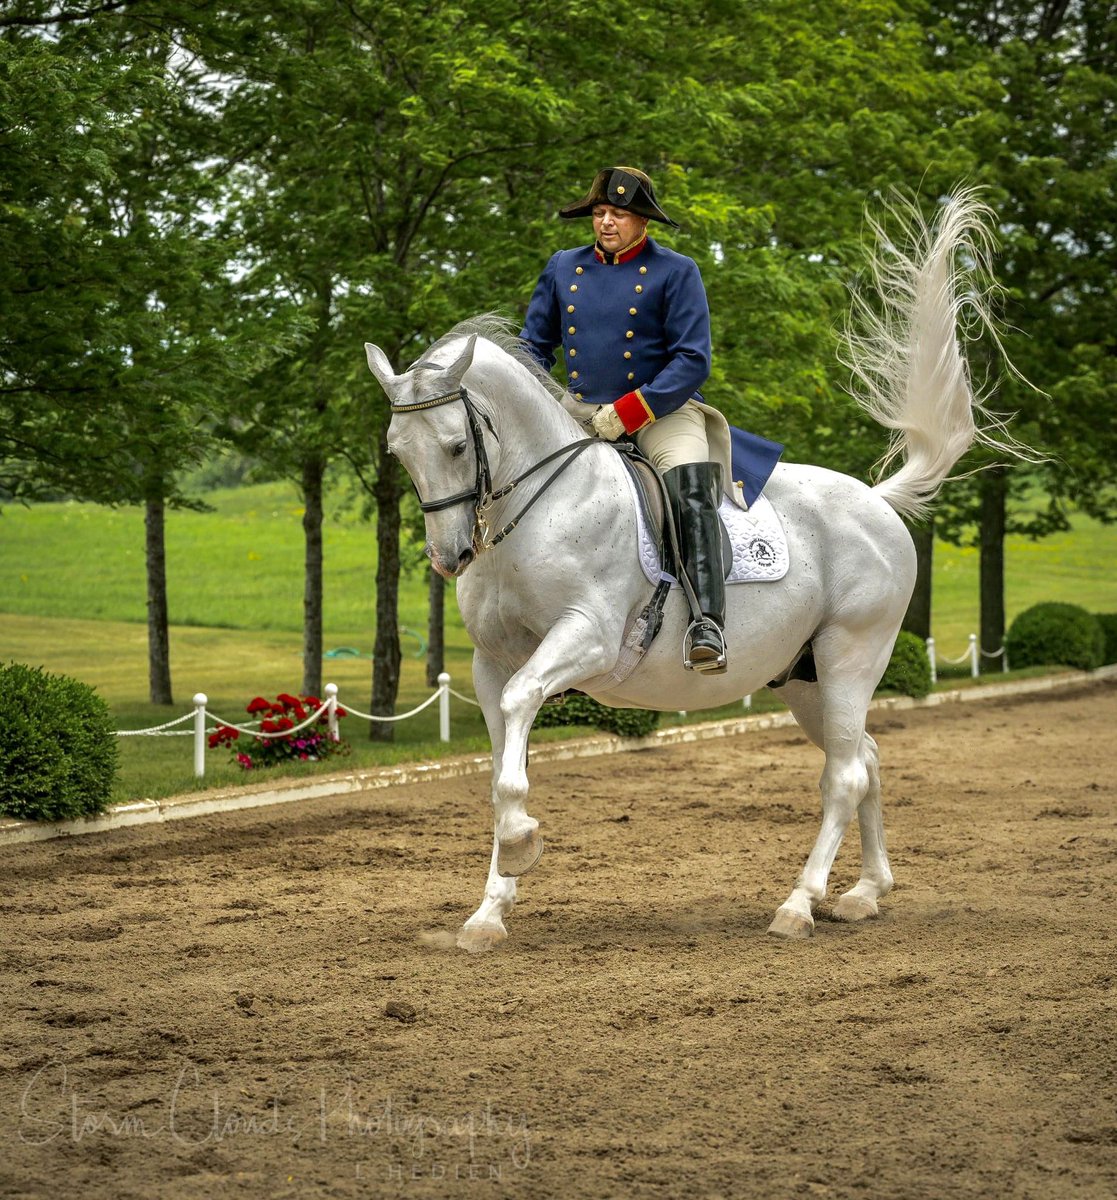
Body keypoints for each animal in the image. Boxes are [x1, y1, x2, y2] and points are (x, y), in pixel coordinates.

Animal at [365, 190, 1017, 951]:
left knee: (843, 778)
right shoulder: (490, 663)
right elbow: (501, 764)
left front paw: (522, 841)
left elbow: (519, 730)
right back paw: (864, 891)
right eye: (396, 450)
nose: (449, 558)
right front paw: (488, 912)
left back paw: (799, 904)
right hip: (804, 676)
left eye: (453, 444)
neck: (536, 507)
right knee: (863, 758)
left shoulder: (585, 639)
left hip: (852, 653)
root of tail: (875, 502)